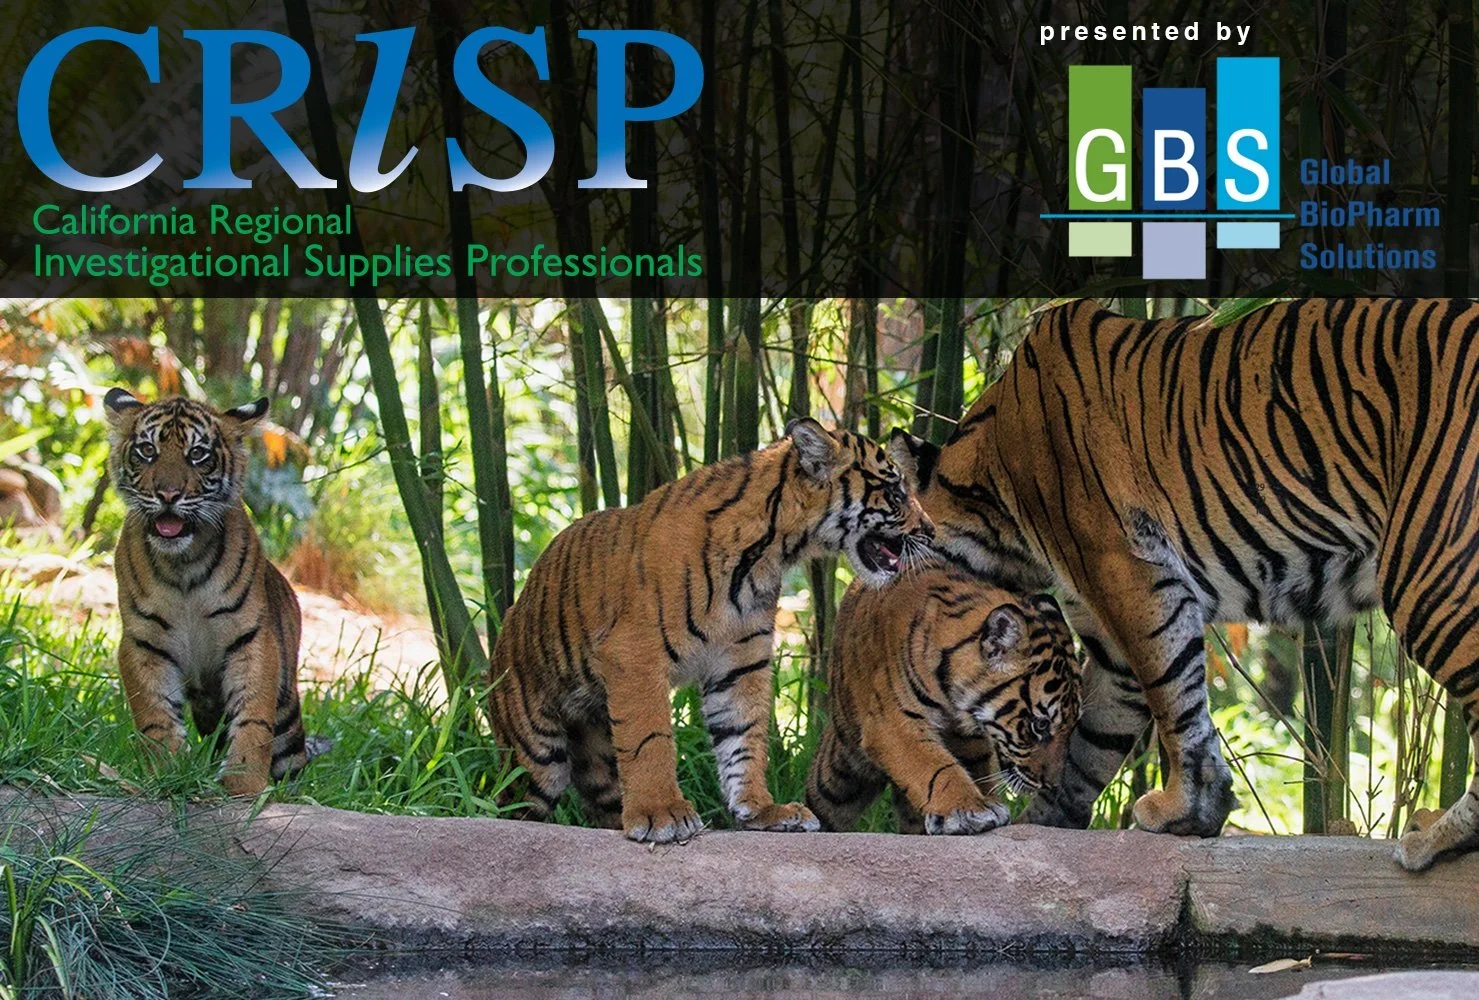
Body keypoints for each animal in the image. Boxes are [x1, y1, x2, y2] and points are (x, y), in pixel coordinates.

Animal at [104, 388, 321, 796]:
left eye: (198, 454)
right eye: (147, 450)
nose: (168, 494)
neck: (183, 565)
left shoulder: (253, 640)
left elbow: (253, 718)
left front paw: (243, 784)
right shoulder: (143, 643)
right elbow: (156, 715)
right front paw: (169, 771)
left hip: (287, 709)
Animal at [488, 418, 935, 843]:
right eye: (896, 493)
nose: (930, 531)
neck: (767, 552)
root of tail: (510, 617)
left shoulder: (740, 663)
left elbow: (744, 736)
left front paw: (762, 811)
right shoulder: (635, 655)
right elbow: (649, 739)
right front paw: (661, 815)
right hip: (537, 757)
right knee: (512, 803)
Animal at [806, 567, 1082, 834]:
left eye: (1072, 726)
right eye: (1040, 725)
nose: (1052, 786)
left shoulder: (970, 742)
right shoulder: (892, 723)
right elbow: (935, 766)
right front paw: (970, 809)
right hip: (841, 772)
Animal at [893, 297, 1479, 870]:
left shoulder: (1131, 574)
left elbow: (1174, 697)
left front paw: (1184, 810)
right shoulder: (1105, 630)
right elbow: (1095, 738)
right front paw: (1045, 819)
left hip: (1430, 574)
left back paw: (1435, 839)